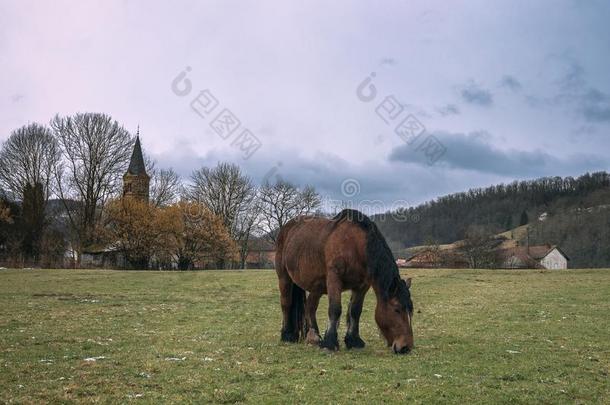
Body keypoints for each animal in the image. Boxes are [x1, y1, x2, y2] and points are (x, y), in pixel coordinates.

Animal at [274, 208, 414, 354]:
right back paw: (288, 335)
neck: (356, 246)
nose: (406, 347)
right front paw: (330, 342)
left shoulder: (362, 286)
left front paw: (353, 340)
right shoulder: (334, 279)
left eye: (411, 310)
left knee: (310, 307)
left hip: (317, 286)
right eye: (397, 309)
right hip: (284, 278)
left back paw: (314, 337)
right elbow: (335, 309)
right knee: (286, 303)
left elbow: (355, 311)